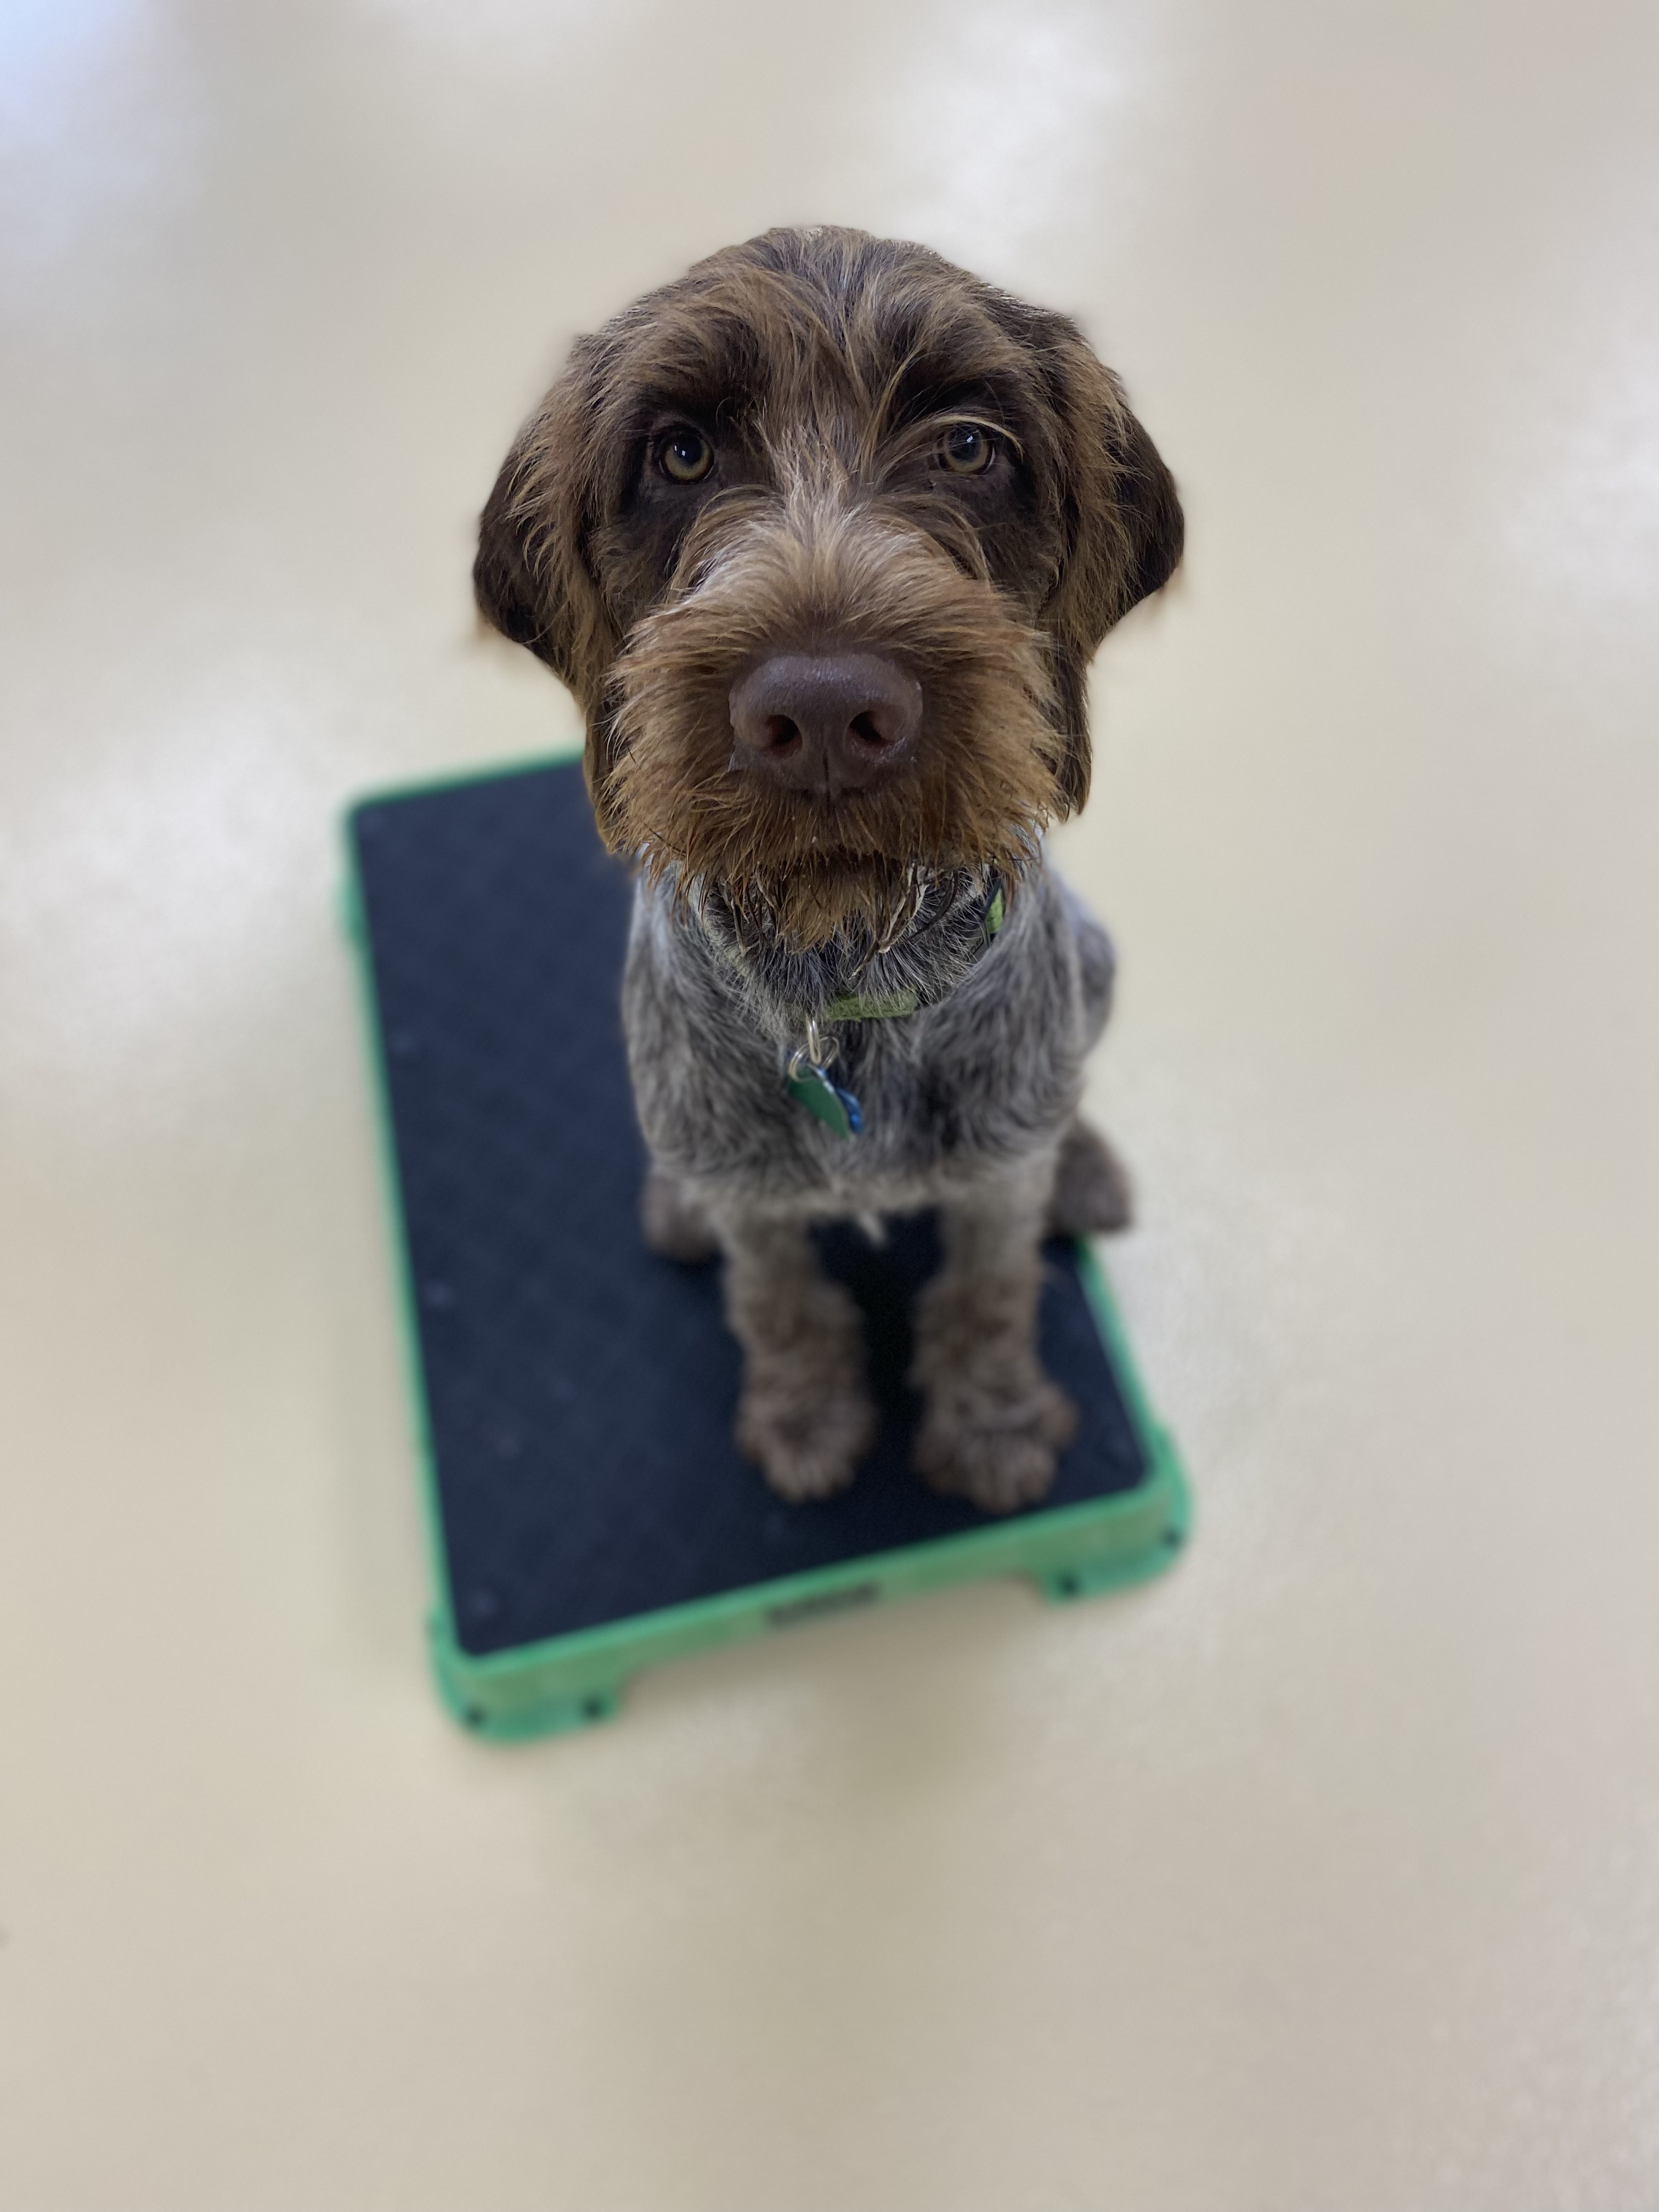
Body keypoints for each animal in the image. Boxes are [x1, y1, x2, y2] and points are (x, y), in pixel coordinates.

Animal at [473, 224, 1186, 1513]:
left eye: (967, 445)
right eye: (681, 454)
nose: (820, 710)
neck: (842, 979)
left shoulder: (994, 1185)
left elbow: (991, 1289)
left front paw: (991, 1421)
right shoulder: (756, 1209)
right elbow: (778, 1301)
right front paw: (805, 1415)